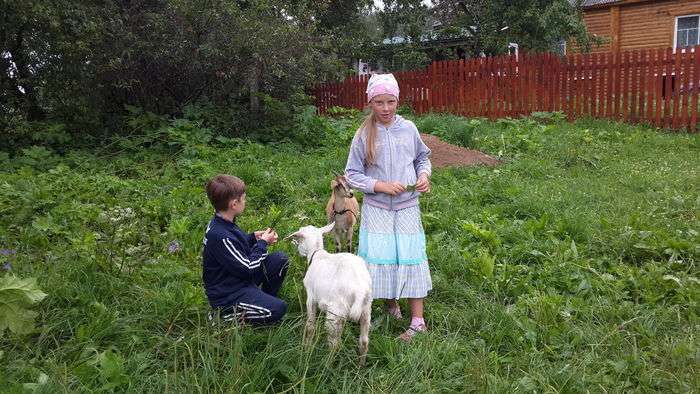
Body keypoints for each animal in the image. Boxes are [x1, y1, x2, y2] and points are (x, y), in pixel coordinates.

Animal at [284, 223, 372, 364]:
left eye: (298, 238)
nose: (299, 251)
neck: (317, 254)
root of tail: (359, 290)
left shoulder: (311, 298)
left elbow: (310, 326)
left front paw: (307, 348)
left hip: (335, 312)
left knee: (334, 344)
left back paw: (327, 364)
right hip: (365, 310)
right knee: (363, 341)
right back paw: (360, 366)